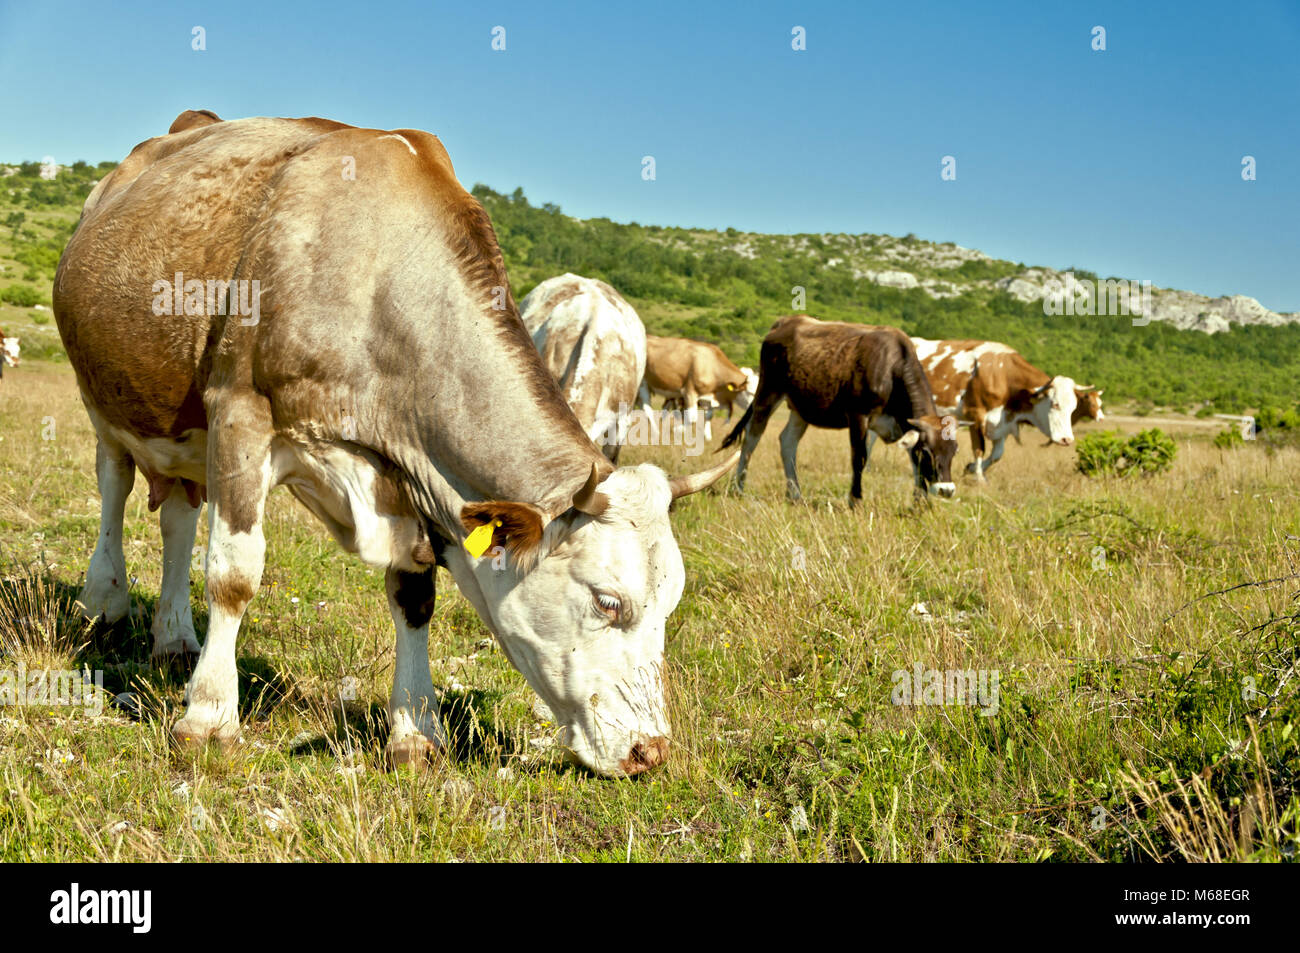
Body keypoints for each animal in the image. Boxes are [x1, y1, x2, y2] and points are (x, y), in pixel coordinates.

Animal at [717, 315, 961, 501]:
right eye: (929, 451)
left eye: (954, 451)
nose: (946, 490)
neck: (891, 368)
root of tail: (787, 321)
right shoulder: (858, 415)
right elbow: (859, 457)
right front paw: (855, 499)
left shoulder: (903, 423)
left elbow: (913, 461)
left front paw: (919, 503)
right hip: (768, 391)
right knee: (752, 437)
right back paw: (739, 488)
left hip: (801, 406)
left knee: (787, 441)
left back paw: (795, 494)